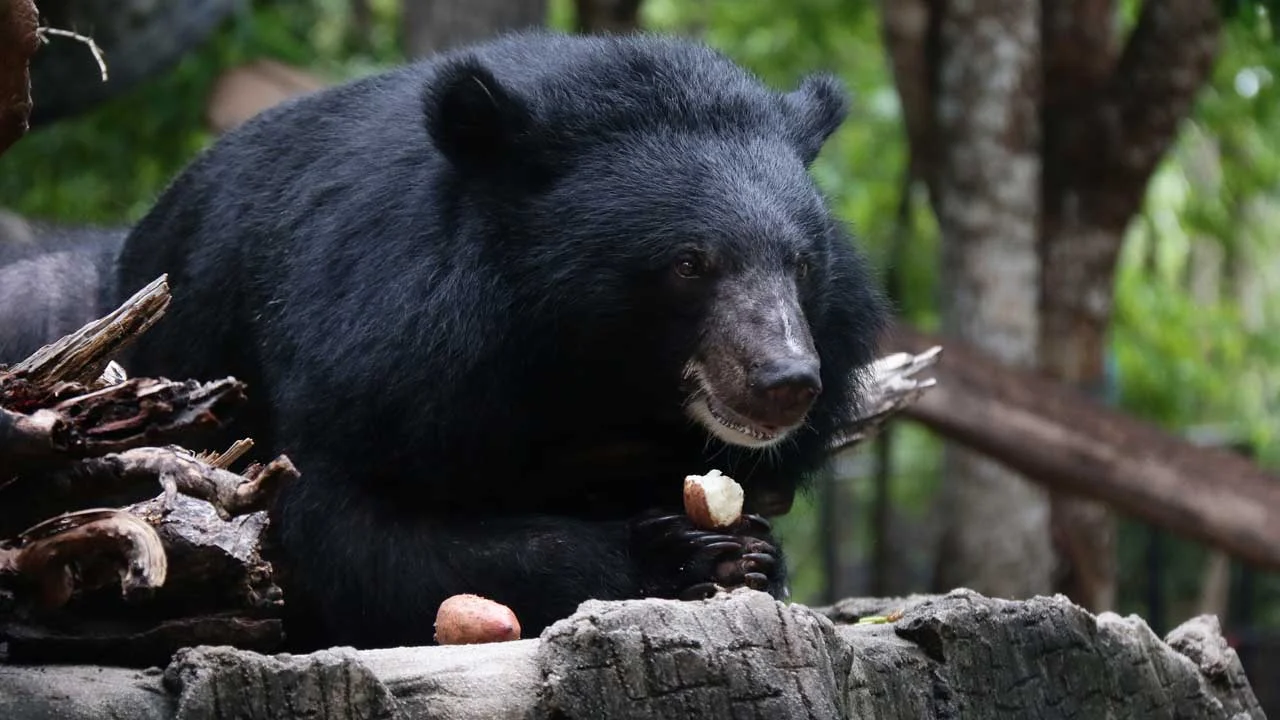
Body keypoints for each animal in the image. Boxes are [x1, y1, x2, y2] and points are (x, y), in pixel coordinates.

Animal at [113, 30, 889, 650]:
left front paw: (757, 553)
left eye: (802, 263)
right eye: (689, 265)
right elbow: (359, 535)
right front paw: (684, 557)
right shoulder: (376, 358)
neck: (601, 377)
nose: (785, 384)